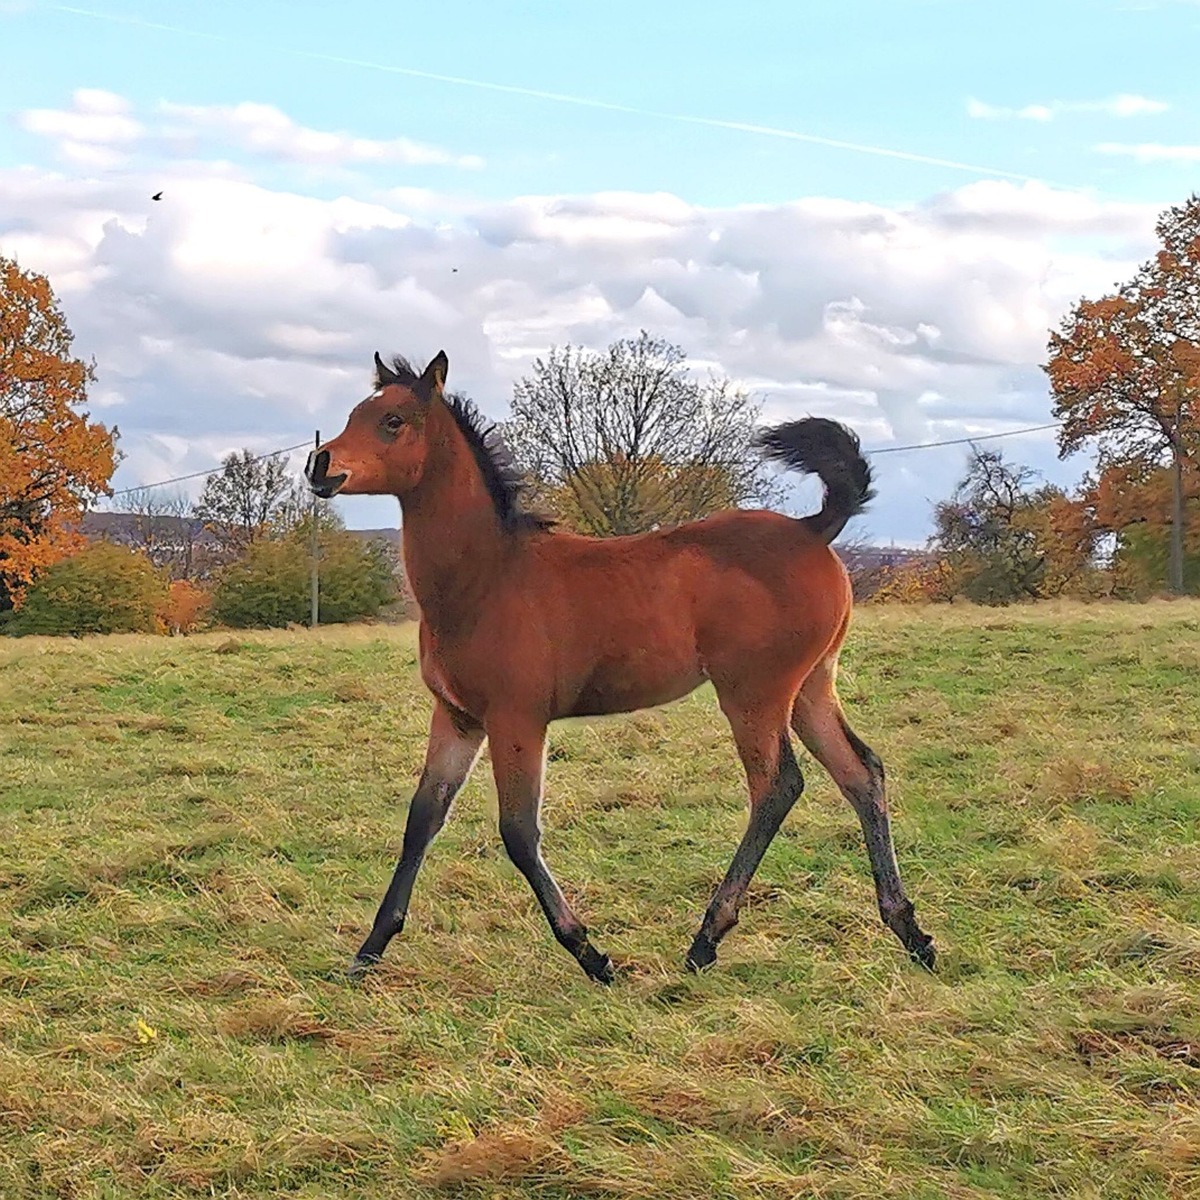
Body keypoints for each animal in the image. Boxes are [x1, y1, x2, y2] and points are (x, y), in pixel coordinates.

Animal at [302, 350, 936, 984]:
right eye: (356, 413)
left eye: (393, 422)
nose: (318, 464)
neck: (486, 576)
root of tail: (812, 528)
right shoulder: (458, 718)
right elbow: (423, 818)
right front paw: (368, 950)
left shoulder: (517, 720)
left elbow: (518, 832)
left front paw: (591, 953)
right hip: (809, 689)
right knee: (861, 773)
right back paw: (910, 931)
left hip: (753, 695)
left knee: (777, 786)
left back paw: (706, 939)